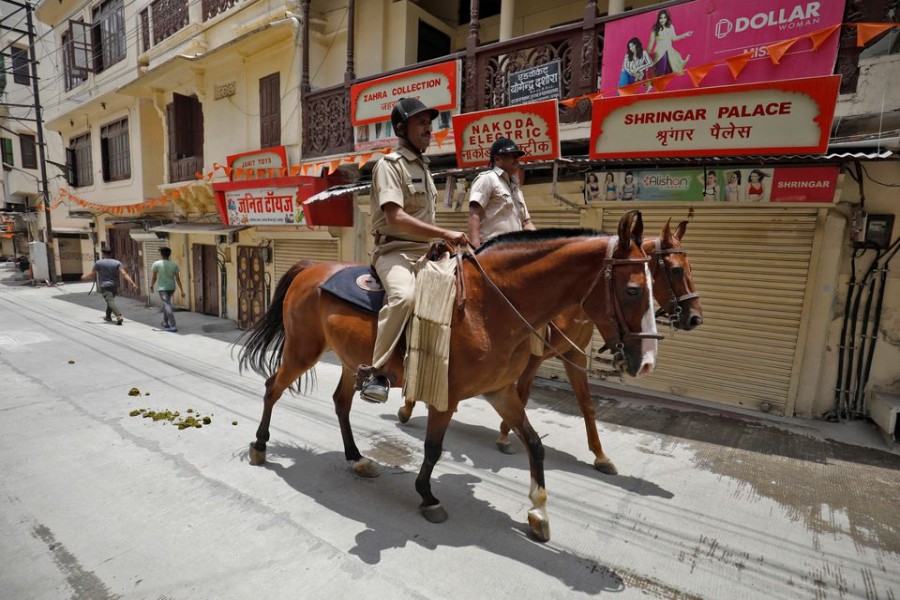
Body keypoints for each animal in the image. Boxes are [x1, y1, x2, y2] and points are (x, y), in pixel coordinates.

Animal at [241, 210, 660, 540]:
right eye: (633, 290)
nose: (646, 362)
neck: (489, 305)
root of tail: (311, 267)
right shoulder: (447, 395)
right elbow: (433, 448)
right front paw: (427, 496)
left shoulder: (501, 391)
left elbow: (534, 443)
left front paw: (538, 510)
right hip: (302, 351)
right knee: (272, 388)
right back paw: (260, 446)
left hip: (347, 360)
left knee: (340, 403)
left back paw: (357, 458)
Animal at [400, 220, 704, 474]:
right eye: (676, 270)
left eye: (690, 268)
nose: (695, 318)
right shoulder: (533, 359)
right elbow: (522, 395)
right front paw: (504, 435)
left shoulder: (574, 356)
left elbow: (586, 404)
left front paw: (600, 455)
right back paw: (407, 407)